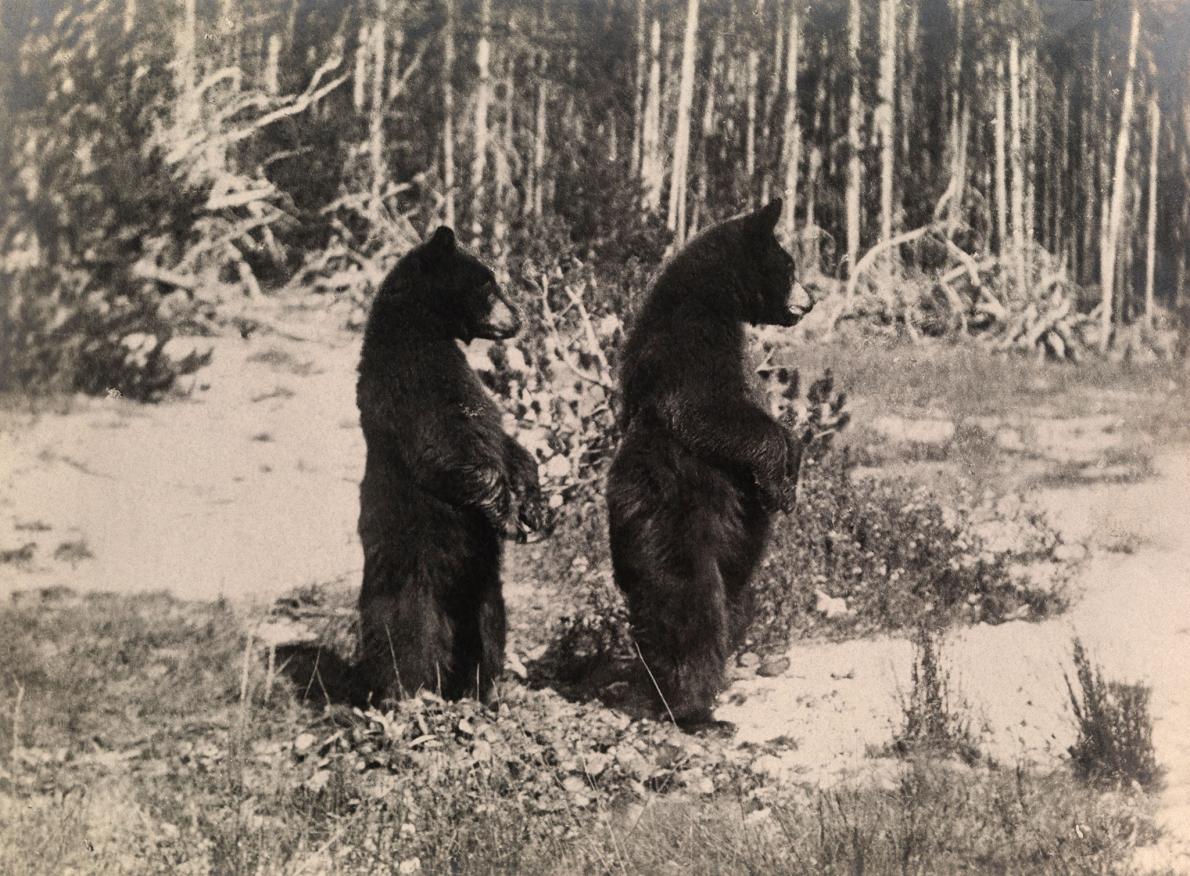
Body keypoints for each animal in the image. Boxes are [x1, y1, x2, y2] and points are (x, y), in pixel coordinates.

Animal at [352, 227, 552, 704]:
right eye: (489, 283)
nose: (519, 317)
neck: (419, 331)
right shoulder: (409, 382)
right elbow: (445, 447)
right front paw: (507, 512)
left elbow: (503, 438)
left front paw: (535, 503)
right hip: (408, 569)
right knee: (402, 633)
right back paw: (408, 694)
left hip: (483, 585)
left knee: (490, 625)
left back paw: (484, 689)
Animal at [609, 198, 813, 723]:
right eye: (789, 265)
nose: (810, 301)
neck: (714, 296)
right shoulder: (690, 339)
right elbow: (708, 410)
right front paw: (781, 480)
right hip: (676, 530)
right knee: (689, 611)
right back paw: (693, 708)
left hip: (737, 555)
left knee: (735, 603)